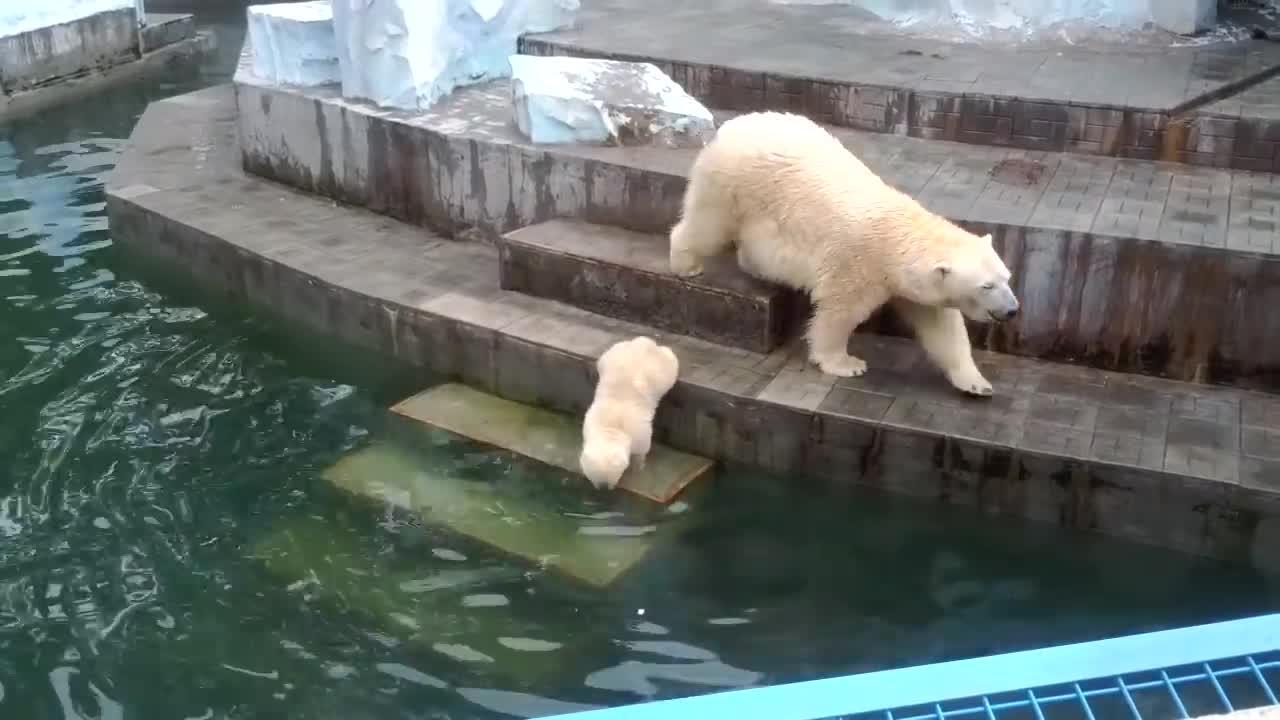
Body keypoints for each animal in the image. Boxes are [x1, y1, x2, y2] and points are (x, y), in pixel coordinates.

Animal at [670, 109, 1018, 394]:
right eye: (986, 286)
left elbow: (942, 326)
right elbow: (840, 312)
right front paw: (846, 364)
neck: (898, 236)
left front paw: (977, 383)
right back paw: (686, 263)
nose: (1013, 310)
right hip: (731, 183)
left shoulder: (916, 286)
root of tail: (732, 125)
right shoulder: (858, 263)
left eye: (1007, 277)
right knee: (708, 225)